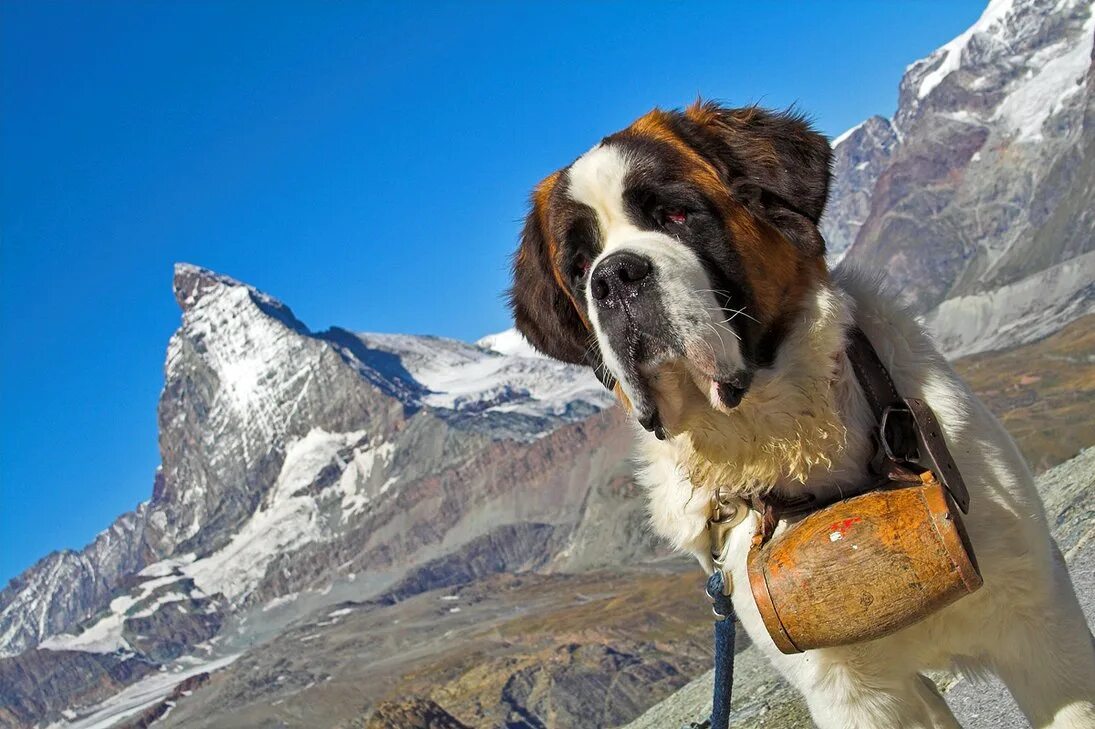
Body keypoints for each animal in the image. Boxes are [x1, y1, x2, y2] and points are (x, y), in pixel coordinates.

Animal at [508, 103, 1095, 726]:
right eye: (579, 267)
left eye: (676, 213)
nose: (613, 275)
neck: (787, 434)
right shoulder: (848, 693)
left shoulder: (1039, 624)